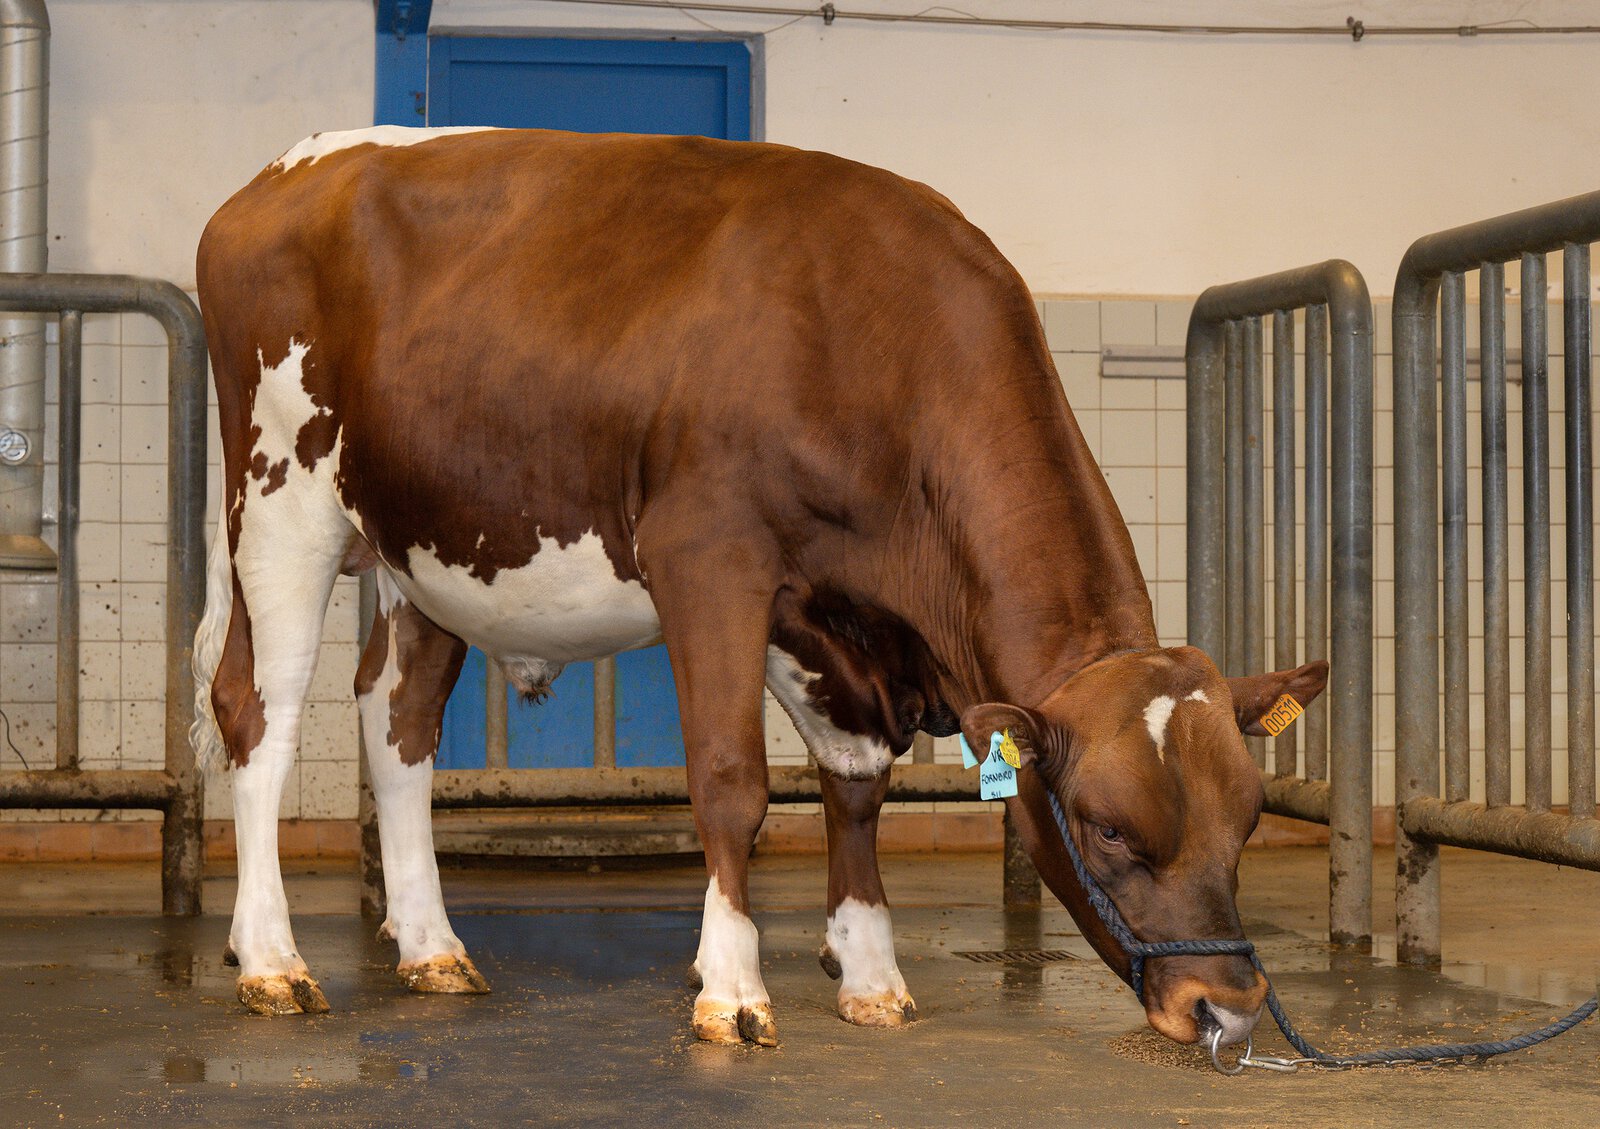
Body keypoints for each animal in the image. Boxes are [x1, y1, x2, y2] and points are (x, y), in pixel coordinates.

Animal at [191, 126, 1327, 1048]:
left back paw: (431, 946)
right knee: (257, 717)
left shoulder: (819, 615)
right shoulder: (710, 555)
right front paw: (732, 986)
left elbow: (855, 783)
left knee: (397, 720)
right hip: (281, 503)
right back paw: (271, 960)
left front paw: (869, 969)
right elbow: (733, 782)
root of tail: (282, 174)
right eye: (1106, 827)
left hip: (417, 549)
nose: (1227, 1006)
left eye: (1248, 819)